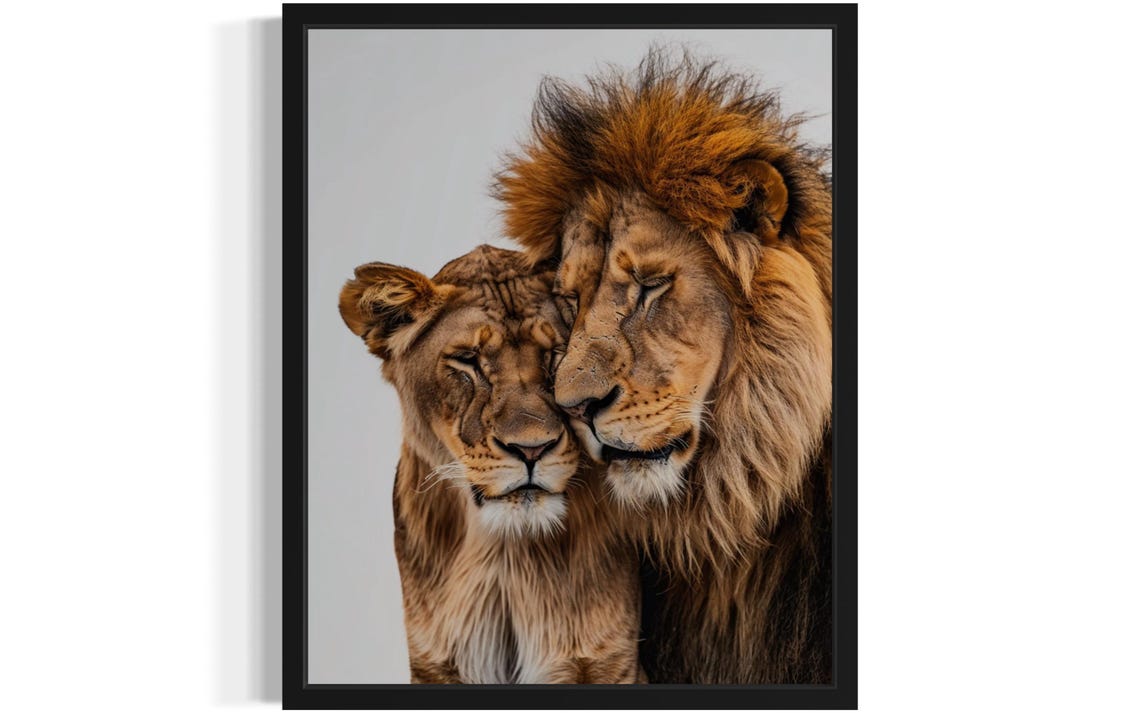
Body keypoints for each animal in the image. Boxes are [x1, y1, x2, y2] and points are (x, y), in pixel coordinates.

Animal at [338, 244, 644, 684]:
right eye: (468, 360)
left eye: (558, 354)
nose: (532, 449)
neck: (505, 555)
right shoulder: (433, 663)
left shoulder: (609, 660)